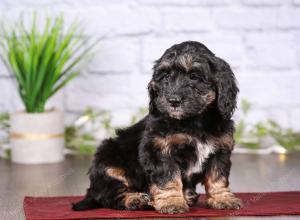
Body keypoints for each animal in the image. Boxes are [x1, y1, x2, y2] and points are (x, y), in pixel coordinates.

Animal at [73, 40, 244, 213]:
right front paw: (172, 202)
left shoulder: (220, 150)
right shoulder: (159, 149)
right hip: (109, 163)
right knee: (111, 194)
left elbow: (217, 177)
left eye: (194, 77)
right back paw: (136, 199)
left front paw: (222, 198)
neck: (193, 122)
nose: (173, 101)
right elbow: (168, 177)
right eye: (165, 76)